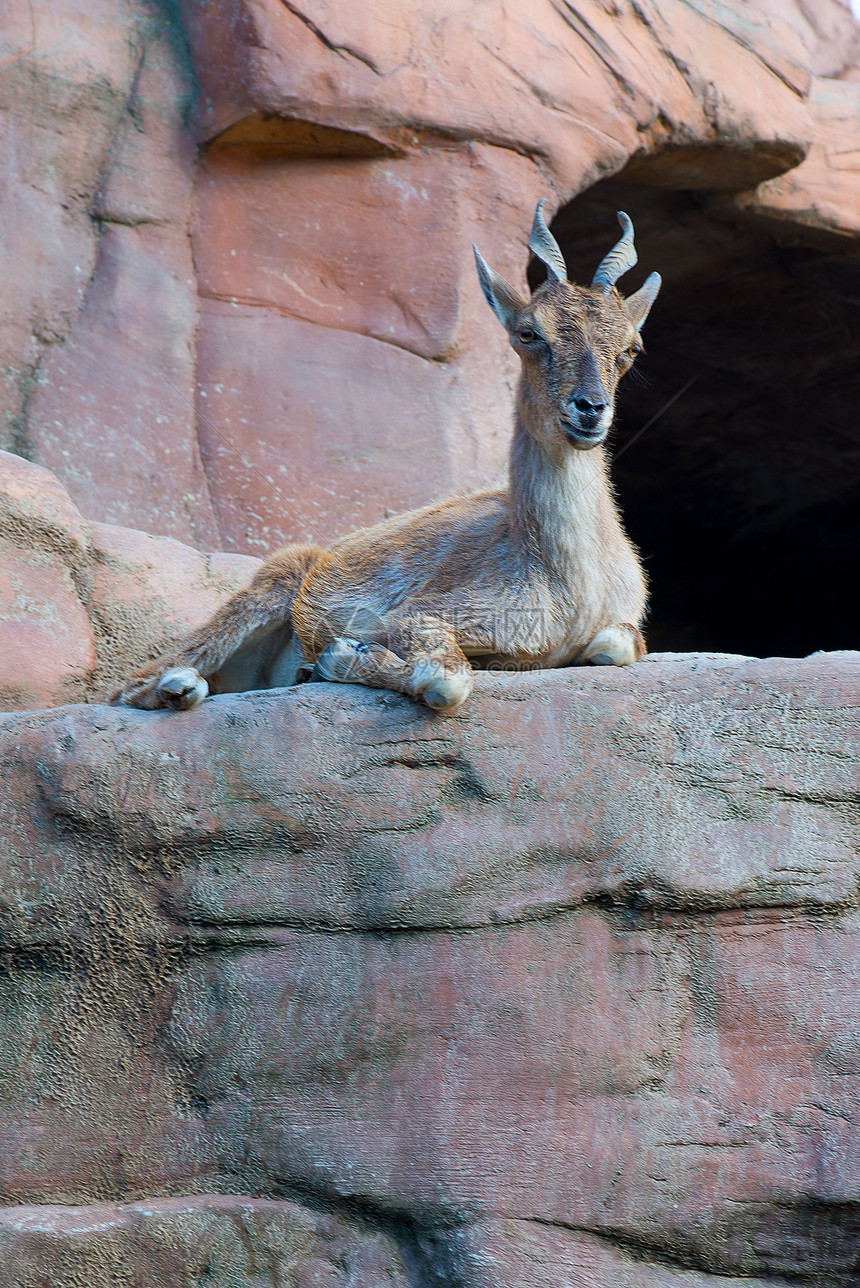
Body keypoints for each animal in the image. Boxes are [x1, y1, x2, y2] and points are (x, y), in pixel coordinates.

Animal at [110, 206, 664, 721]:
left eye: (631, 347)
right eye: (529, 332)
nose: (589, 409)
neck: (568, 585)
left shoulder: (621, 627)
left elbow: (615, 644)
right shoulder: (419, 616)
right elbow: (445, 680)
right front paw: (337, 655)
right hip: (270, 588)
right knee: (133, 684)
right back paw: (183, 685)